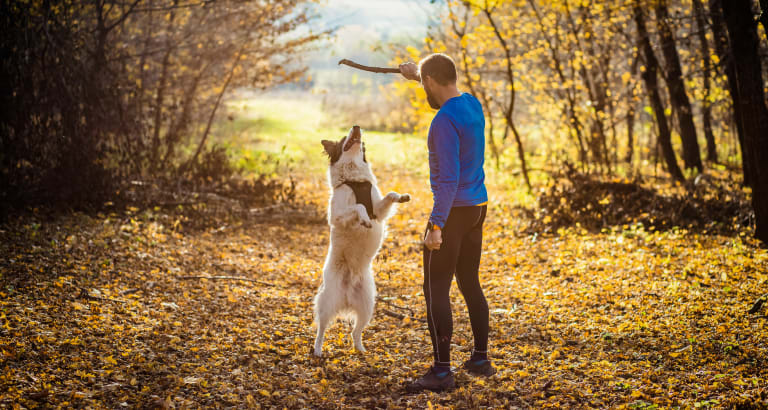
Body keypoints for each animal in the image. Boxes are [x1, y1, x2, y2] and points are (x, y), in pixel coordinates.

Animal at [312, 125, 408, 356]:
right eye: (343, 139)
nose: (356, 127)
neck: (355, 180)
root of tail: (347, 294)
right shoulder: (338, 216)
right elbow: (359, 207)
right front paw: (364, 220)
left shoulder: (380, 212)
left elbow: (389, 196)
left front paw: (401, 197)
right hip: (327, 301)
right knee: (321, 328)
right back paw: (317, 349)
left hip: (367, 306)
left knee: (355, 331)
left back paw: (360, 348)